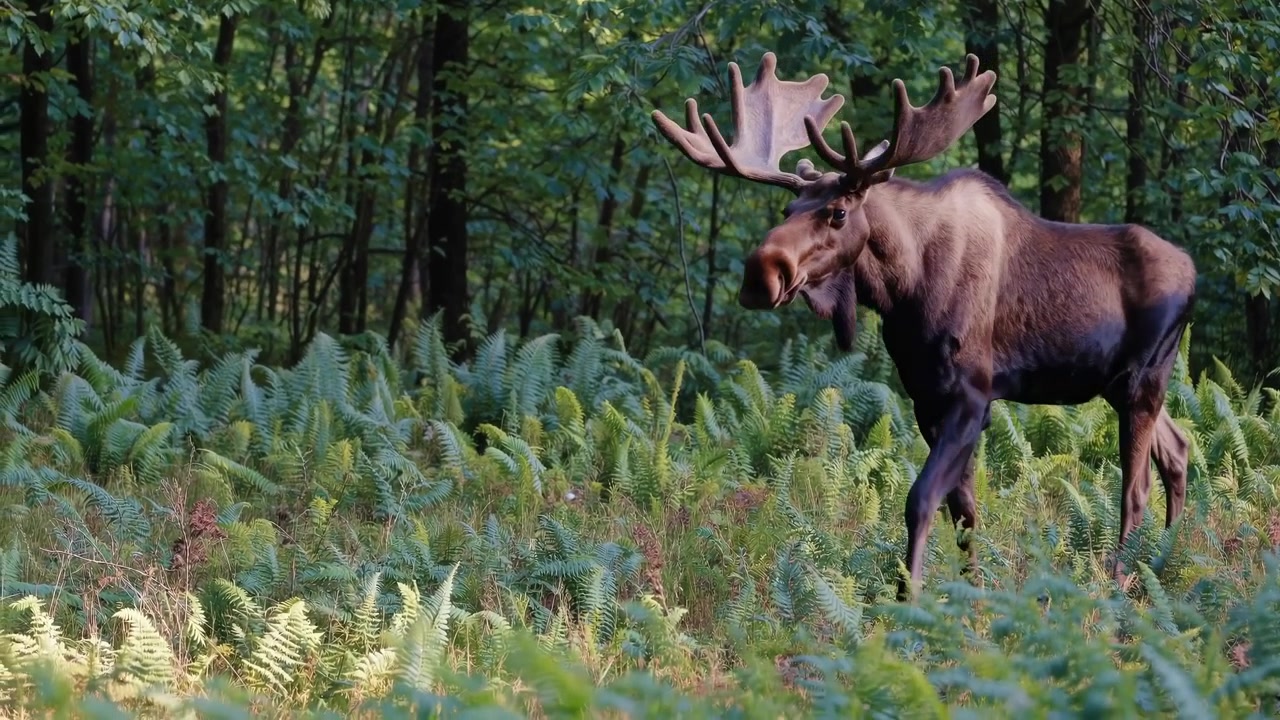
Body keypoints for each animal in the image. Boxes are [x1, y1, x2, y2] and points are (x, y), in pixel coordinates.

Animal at [651, 51, 1197, 601]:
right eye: (788, 208)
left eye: (838, 212)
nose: (760, 274)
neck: (903, 287)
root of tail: (1194, 271)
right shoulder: (925, 397)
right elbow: (964, 509)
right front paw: (971, 594)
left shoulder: (972, 396)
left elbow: (922, 499)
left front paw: (907, 597)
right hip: (1120, 383)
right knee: (1177, 448)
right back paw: (1167, 563)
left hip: (1142, 381)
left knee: (1135, 486)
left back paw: (1121, 583)